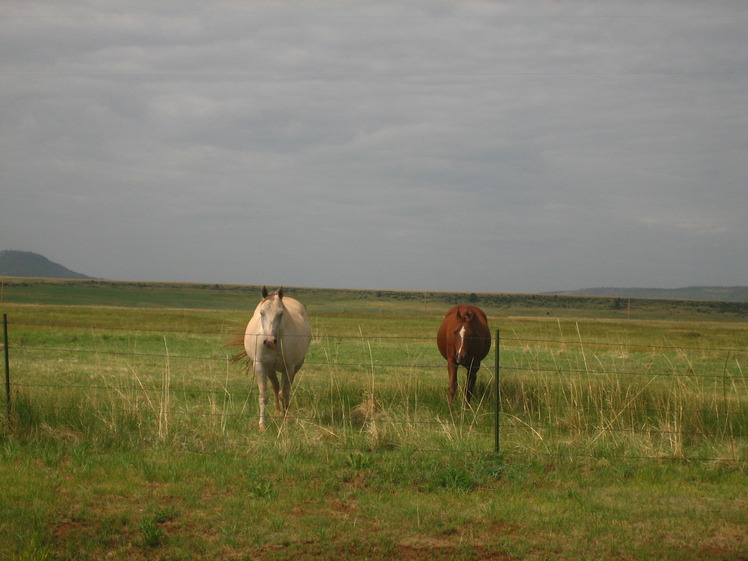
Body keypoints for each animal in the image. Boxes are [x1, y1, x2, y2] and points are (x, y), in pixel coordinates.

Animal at [244, 286, 312, 430]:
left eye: (281, 313)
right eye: (261, 312)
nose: (270, 342)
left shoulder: (289, 367)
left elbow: (285, 394)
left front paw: (285, 421)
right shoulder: (260, 366)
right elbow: (264, 395)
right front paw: (262, 425)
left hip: (295, 368)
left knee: (284, 389)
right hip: (270, 369)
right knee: (275, 387)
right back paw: (277, 412)